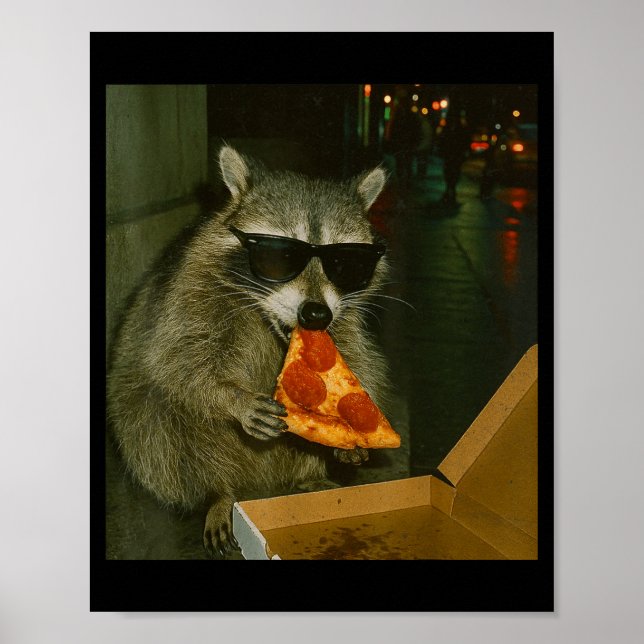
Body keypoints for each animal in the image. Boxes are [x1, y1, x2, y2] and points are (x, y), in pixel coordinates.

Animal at [107, 145, 393, 557]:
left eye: (344, 263)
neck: (269, 320)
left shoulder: (343, 320)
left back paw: (307, 478)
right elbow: (177, 362)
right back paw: (218, 492)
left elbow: (358, 358)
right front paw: (232, 398)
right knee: (162, 427)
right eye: (281, 256)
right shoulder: (189, 295)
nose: (315, 314)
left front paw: (353, 422)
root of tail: (260, 483)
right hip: (141, 416)